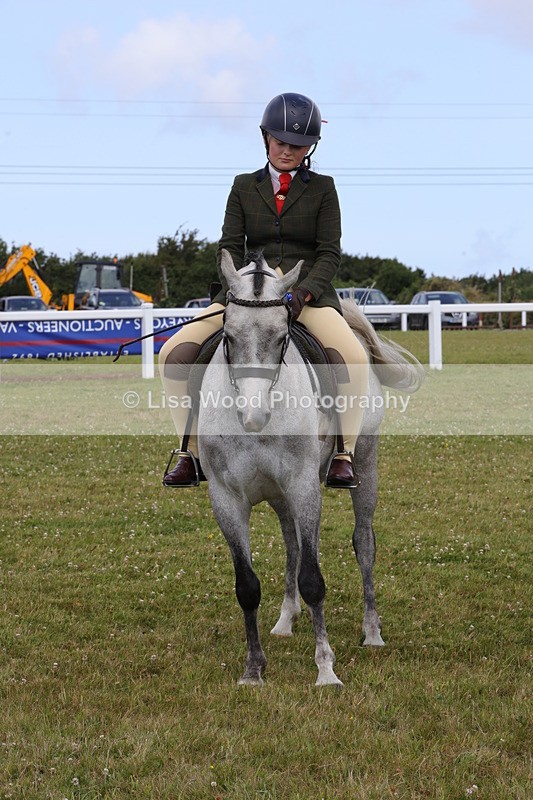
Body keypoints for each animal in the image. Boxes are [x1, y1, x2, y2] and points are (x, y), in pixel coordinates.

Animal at [196, 249, 423, 686]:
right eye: (228, 338)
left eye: (282, 338)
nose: (253, 416)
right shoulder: (226, 497)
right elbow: (247, 585)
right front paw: (253, 670)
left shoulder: (303, 485)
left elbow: (314, 580)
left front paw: (326, 669)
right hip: (281, 495)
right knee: (294, 545)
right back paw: (286, 620)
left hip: (363, 463)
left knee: (363, 543)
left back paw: (372, 631)